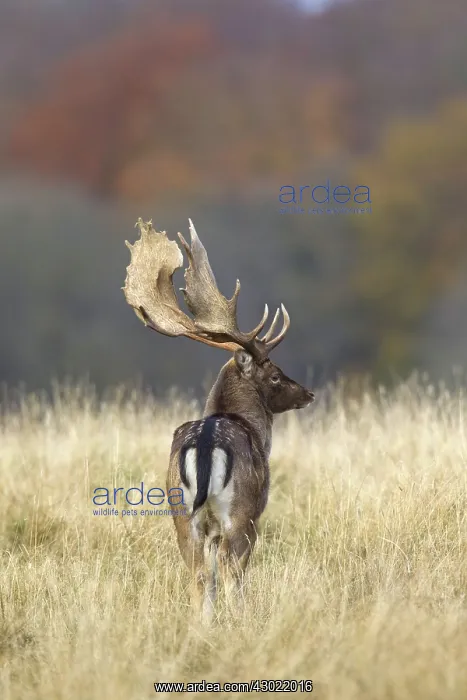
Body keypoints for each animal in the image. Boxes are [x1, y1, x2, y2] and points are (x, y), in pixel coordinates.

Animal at [123, 218, 314, 623]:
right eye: (276, 375)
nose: (308, 393)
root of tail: (206, 446)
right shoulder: (257, 509)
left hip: (180, 512)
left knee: (198, 571)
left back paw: (202, 625)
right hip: (238, 511)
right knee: (229, 565)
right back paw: (241, 618)